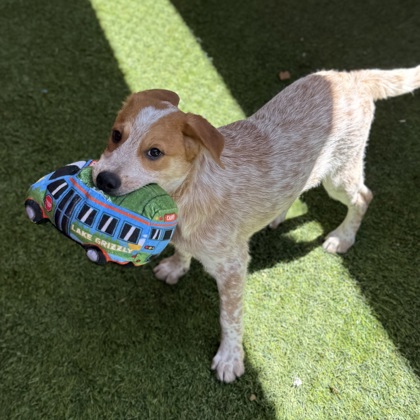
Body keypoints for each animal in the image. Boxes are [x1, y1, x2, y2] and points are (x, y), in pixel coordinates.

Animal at [92, 66, 420, 382]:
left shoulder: (233, 267)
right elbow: (182, 250)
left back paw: (343, 237)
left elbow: (230, 318)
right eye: (116, 135)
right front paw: (176, 267)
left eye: (154, 153)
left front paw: (230, 359)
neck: (188, 193)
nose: (103, 179)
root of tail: (352, 78)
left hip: (339, 175)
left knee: (363, 196)